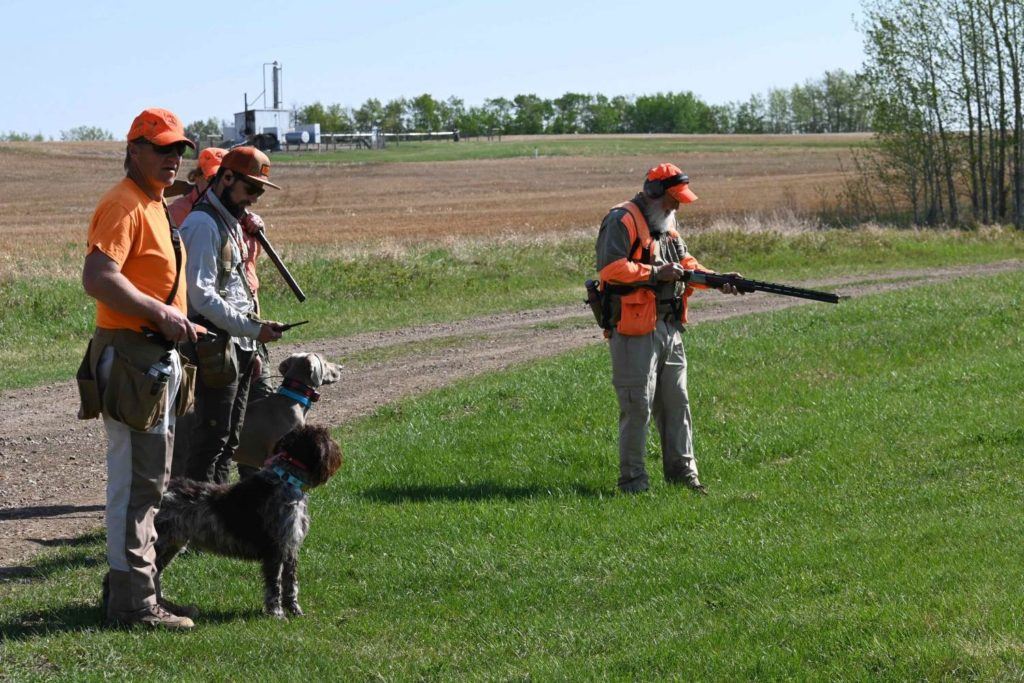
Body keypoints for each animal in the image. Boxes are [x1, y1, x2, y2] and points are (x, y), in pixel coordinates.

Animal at [153, 423, 342, 618]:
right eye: (326, 436)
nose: (338, 448)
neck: (287, 480)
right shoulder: (275, 549)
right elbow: (274, 585)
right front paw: (276, 613)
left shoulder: (290, 548)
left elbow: (291, 584)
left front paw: (295, 611)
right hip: (161, 543)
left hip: (172, 545)